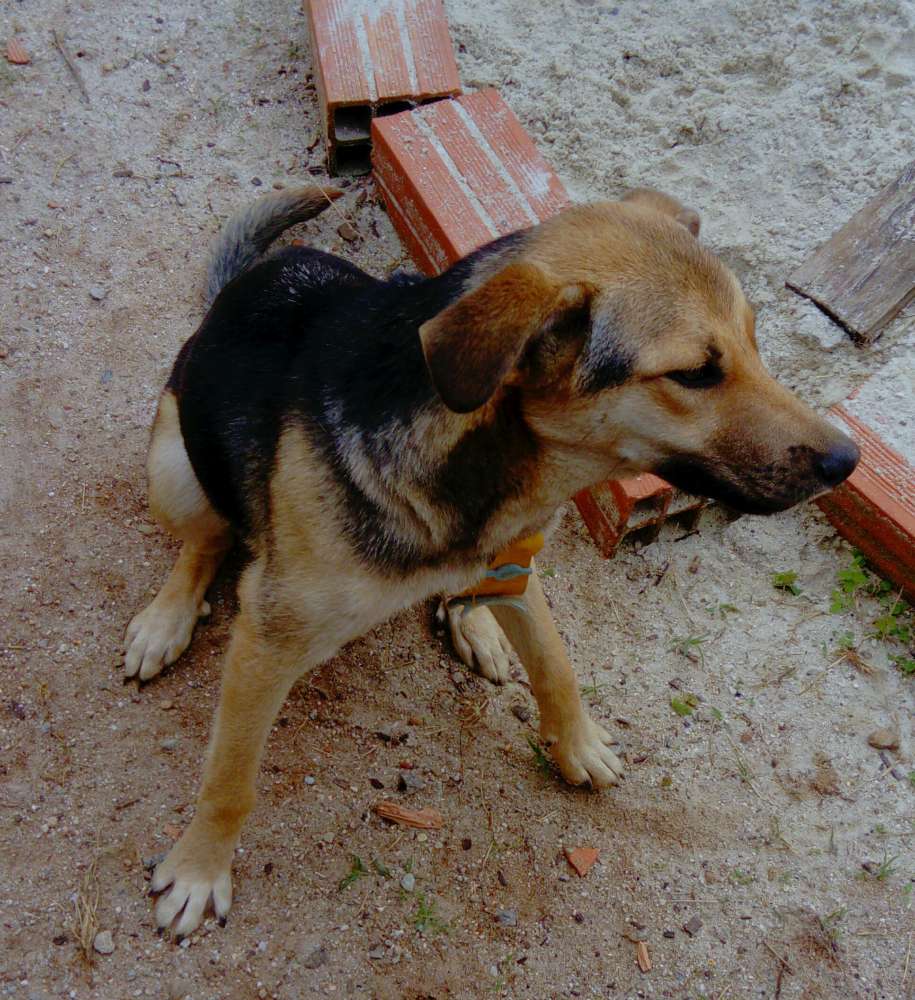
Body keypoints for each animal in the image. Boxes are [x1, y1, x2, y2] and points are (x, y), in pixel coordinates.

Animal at [124, 185, 858, 936]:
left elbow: (556, 663)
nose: (848, 461)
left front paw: (576, 743)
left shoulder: (515, 561)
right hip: (174, 469)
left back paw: (471, 622)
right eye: (692, 374)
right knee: (205, 538)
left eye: (754, 341)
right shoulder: (268, 640)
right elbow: (230, 779)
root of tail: (235, 286)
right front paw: (199, 870)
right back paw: (167, 619)